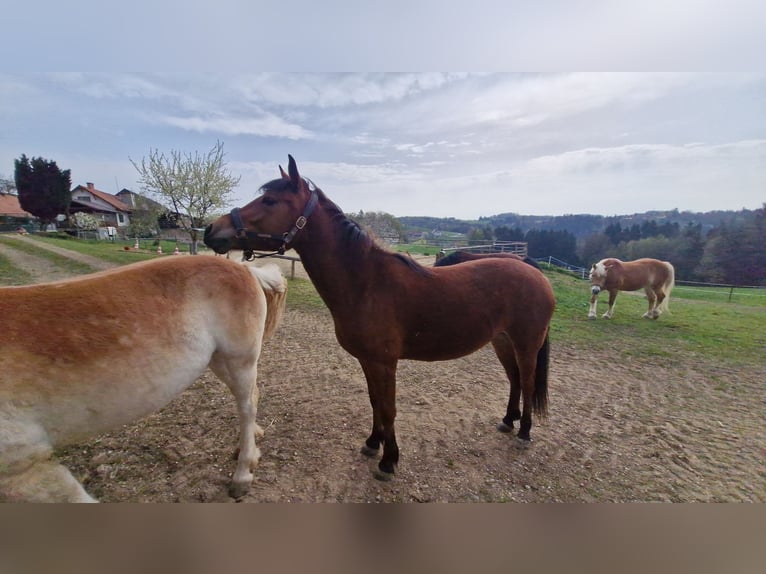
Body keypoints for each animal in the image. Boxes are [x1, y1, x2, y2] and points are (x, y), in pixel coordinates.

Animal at [0, 256, 286, 502]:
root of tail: (244, 268)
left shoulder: (26, 468)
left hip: (239, 359)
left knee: (246, 405)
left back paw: (242, 474)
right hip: (219, 360)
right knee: (250, 398)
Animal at [204, 155, 556, 481]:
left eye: (270, 201)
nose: (211, 230)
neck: (366, 282)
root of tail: (532, 270)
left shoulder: (385, 363)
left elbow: (388, 408)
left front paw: (389, 461)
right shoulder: (369, 360)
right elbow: (375, 402)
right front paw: (373, 444)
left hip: (526, 345)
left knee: (526, 380)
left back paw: (524, 431)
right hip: (502, 342)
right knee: (514, 379)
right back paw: (508, 421)